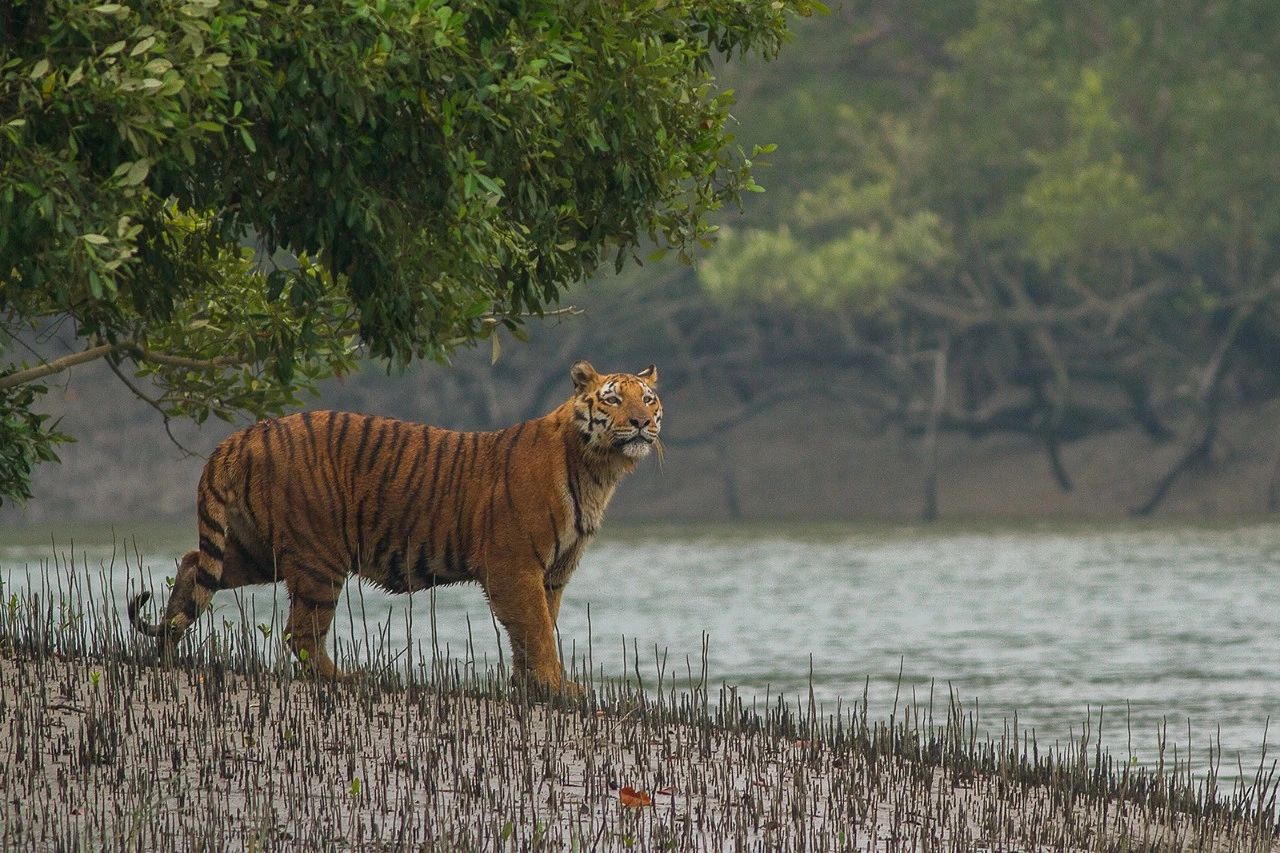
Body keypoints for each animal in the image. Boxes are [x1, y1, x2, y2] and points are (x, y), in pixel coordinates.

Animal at [128, 361, 665, 691]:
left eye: (649, 399)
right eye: (613, 400)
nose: (642, 423)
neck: (599, 469)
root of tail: (244, 434)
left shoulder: (552, 573)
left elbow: (535, 631)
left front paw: (531, 686)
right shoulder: (515, 566)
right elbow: (536, 630)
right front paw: (556, 687)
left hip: (259, 549)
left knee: (194, 564)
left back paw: (167, 648)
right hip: (319, 556)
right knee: (301, 634)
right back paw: (345, 678)